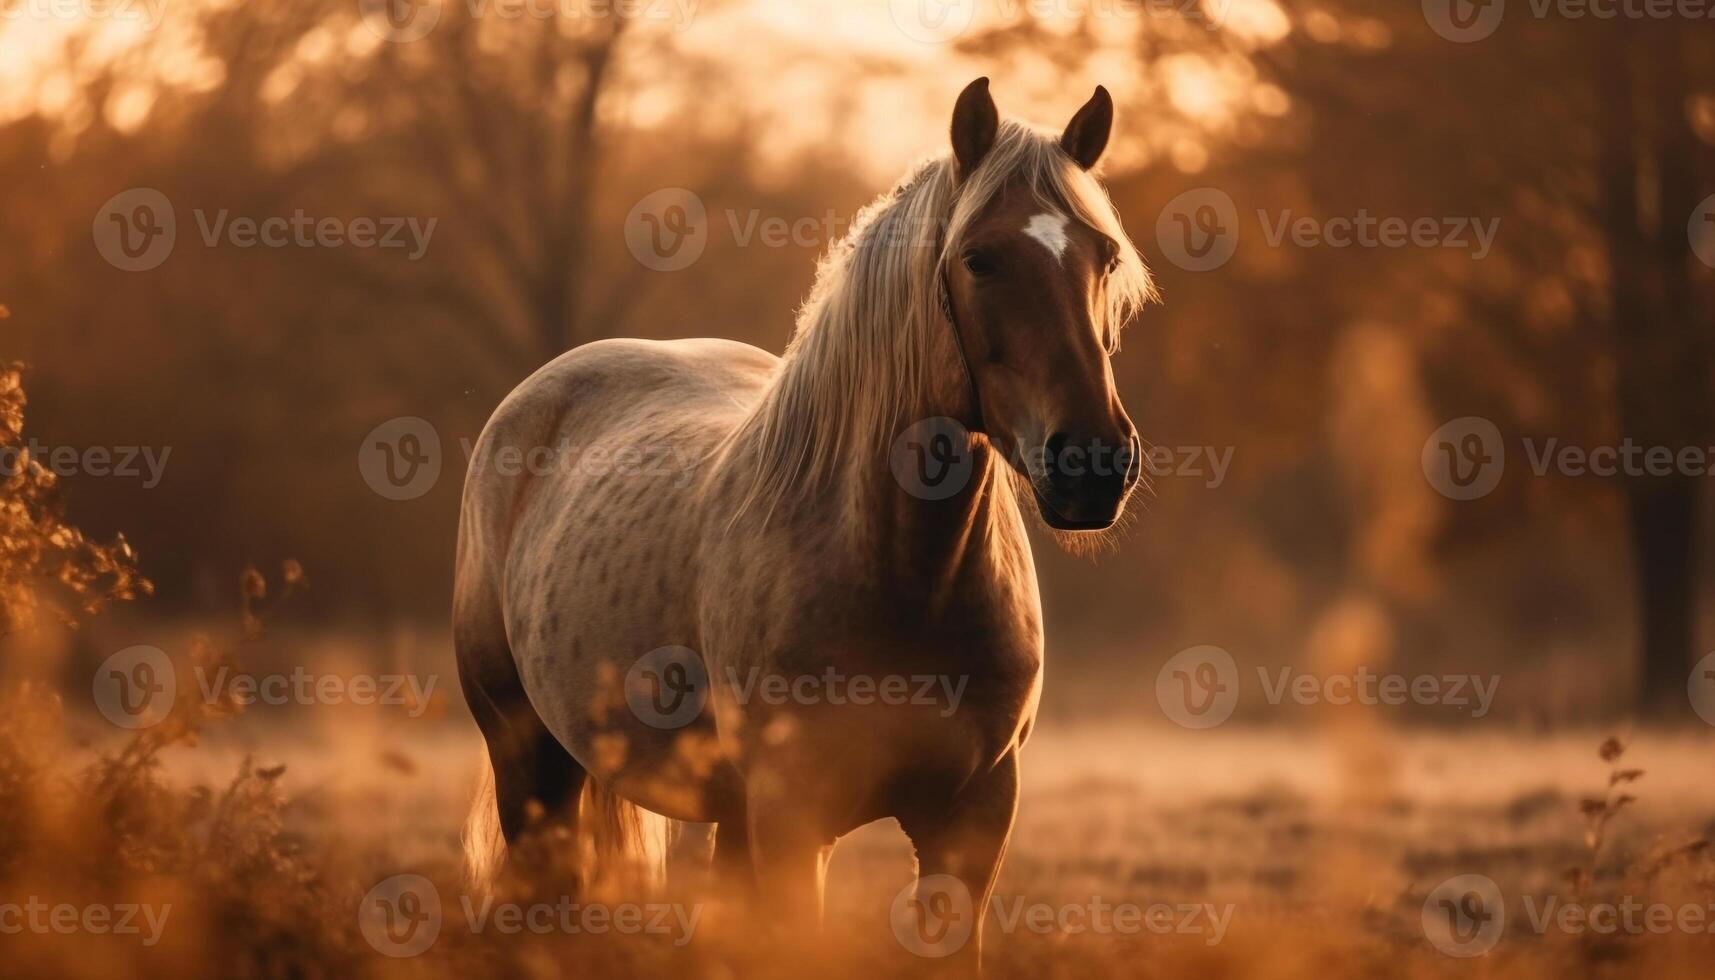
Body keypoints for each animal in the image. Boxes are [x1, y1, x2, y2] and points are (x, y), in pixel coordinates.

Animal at [452, 76, 1152, 967]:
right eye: (979, 258)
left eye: (1104, 256)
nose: (1092, 462)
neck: (906, 578)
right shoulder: (794, 817)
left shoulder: (971, 824)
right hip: (528, 762)